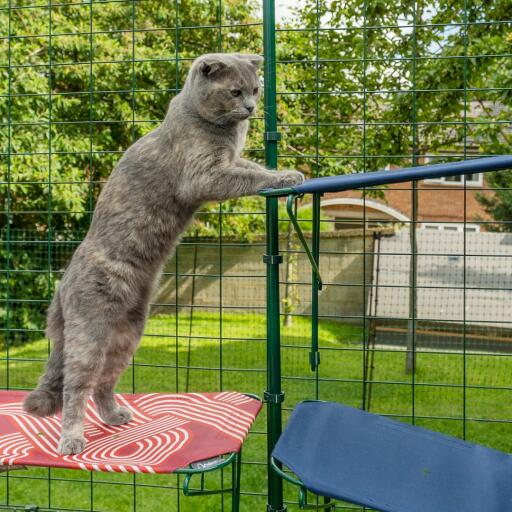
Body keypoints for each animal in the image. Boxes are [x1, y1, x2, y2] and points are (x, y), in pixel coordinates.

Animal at [24, 52, 302, 454]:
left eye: (255, 89)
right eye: (235, 91)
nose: (251, 108)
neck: (219, 129)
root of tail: (61, 288)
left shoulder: (230, 161)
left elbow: (251, 166)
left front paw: (283, 170)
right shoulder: (205, 174)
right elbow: (251, 176)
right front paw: (284, 177)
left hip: (127, 334)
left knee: (103, 383)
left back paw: (114, 415)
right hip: (89, 331)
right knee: (77, 386)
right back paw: (72, 438)